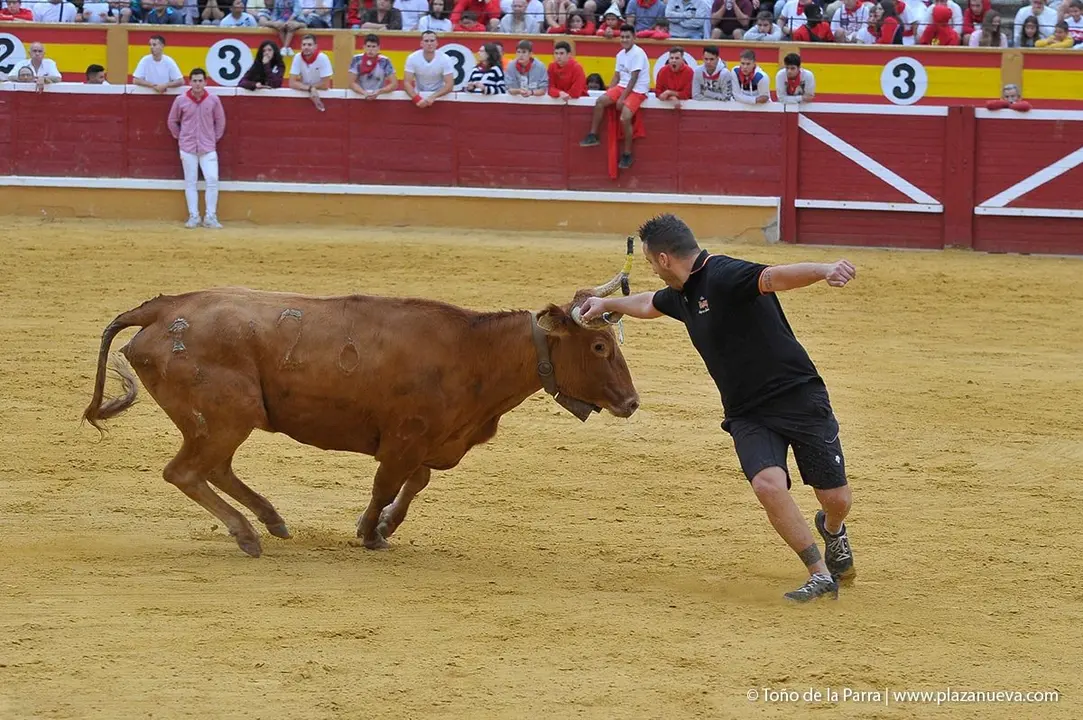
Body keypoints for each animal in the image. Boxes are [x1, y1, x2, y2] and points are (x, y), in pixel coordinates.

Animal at [82, 258, 640, 558]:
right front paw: (370, 532)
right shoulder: (405, 439)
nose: (632, 403)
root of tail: (164, 307)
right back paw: (248, 535)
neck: (475, 352)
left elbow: (416, 483)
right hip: (226, 416)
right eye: (599, 347)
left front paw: (382, 528)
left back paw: (271, 519)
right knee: (185, 471)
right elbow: (388, 485)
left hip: (224, 421)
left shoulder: (431, 440)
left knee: (212, 468)